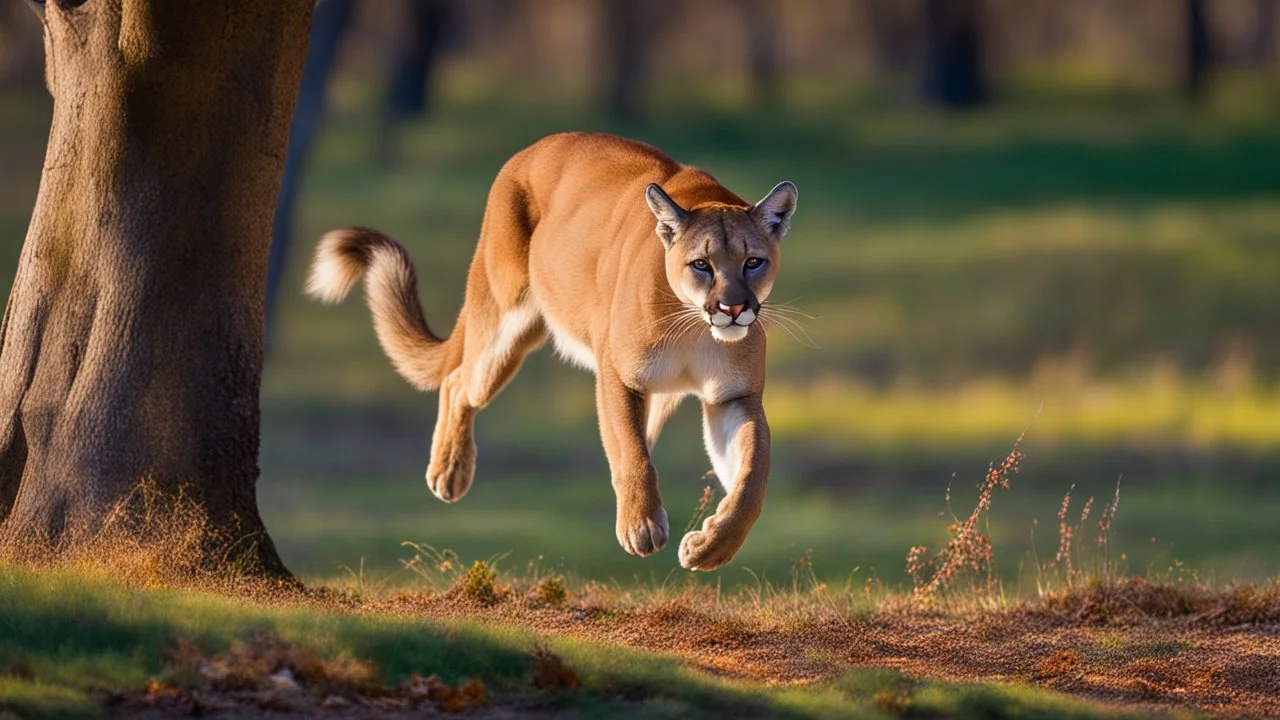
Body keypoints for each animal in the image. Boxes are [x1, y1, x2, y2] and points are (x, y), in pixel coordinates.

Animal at [304, 128, 793, 566]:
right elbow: (632, 454)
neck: (694, 327)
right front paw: (641, 526)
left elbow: (753, 477)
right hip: (504, 326)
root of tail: (532, 147)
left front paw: (711, 547)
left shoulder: (734, 397)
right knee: (459, 382)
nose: (733, 307)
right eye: (701, 265)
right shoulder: (619, 376)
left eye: (753, 261)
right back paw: (449, 472)